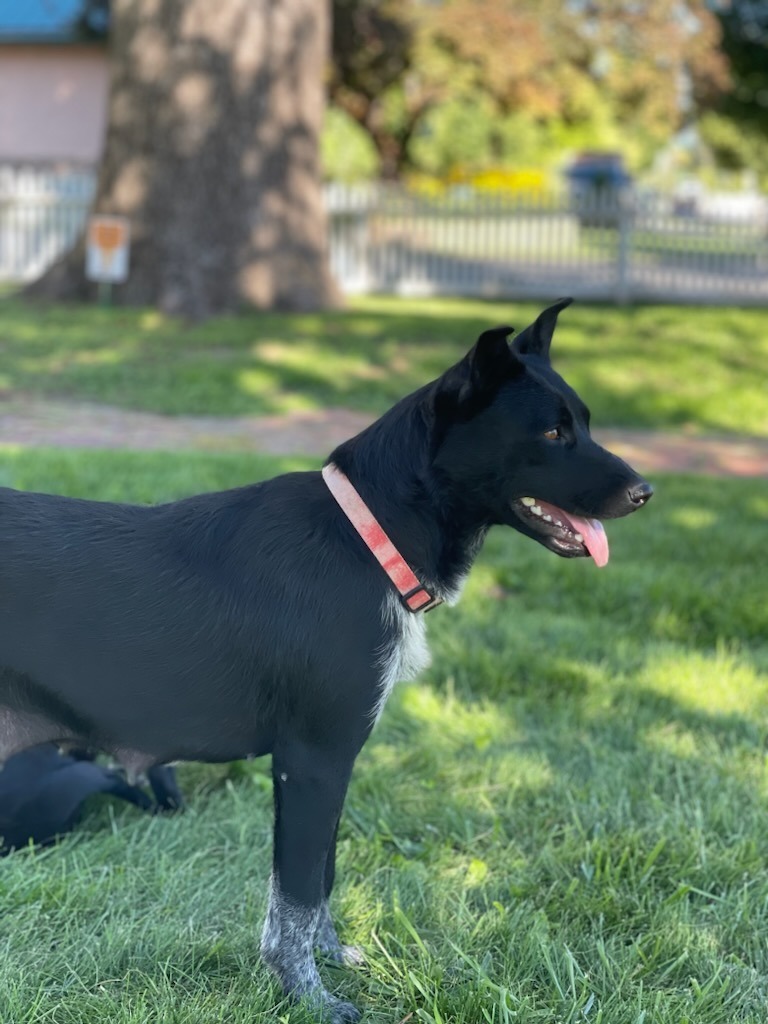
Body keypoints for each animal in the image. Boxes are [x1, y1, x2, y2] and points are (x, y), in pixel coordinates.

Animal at [0, 299, 651, 1019]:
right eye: (554, 432)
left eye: (584, 422)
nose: (645, 492)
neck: (367, 538)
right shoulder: (313, 759)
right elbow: (299, 889)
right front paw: (307, 994)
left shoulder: (332, 763)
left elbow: (321, 880)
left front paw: (329, 959)